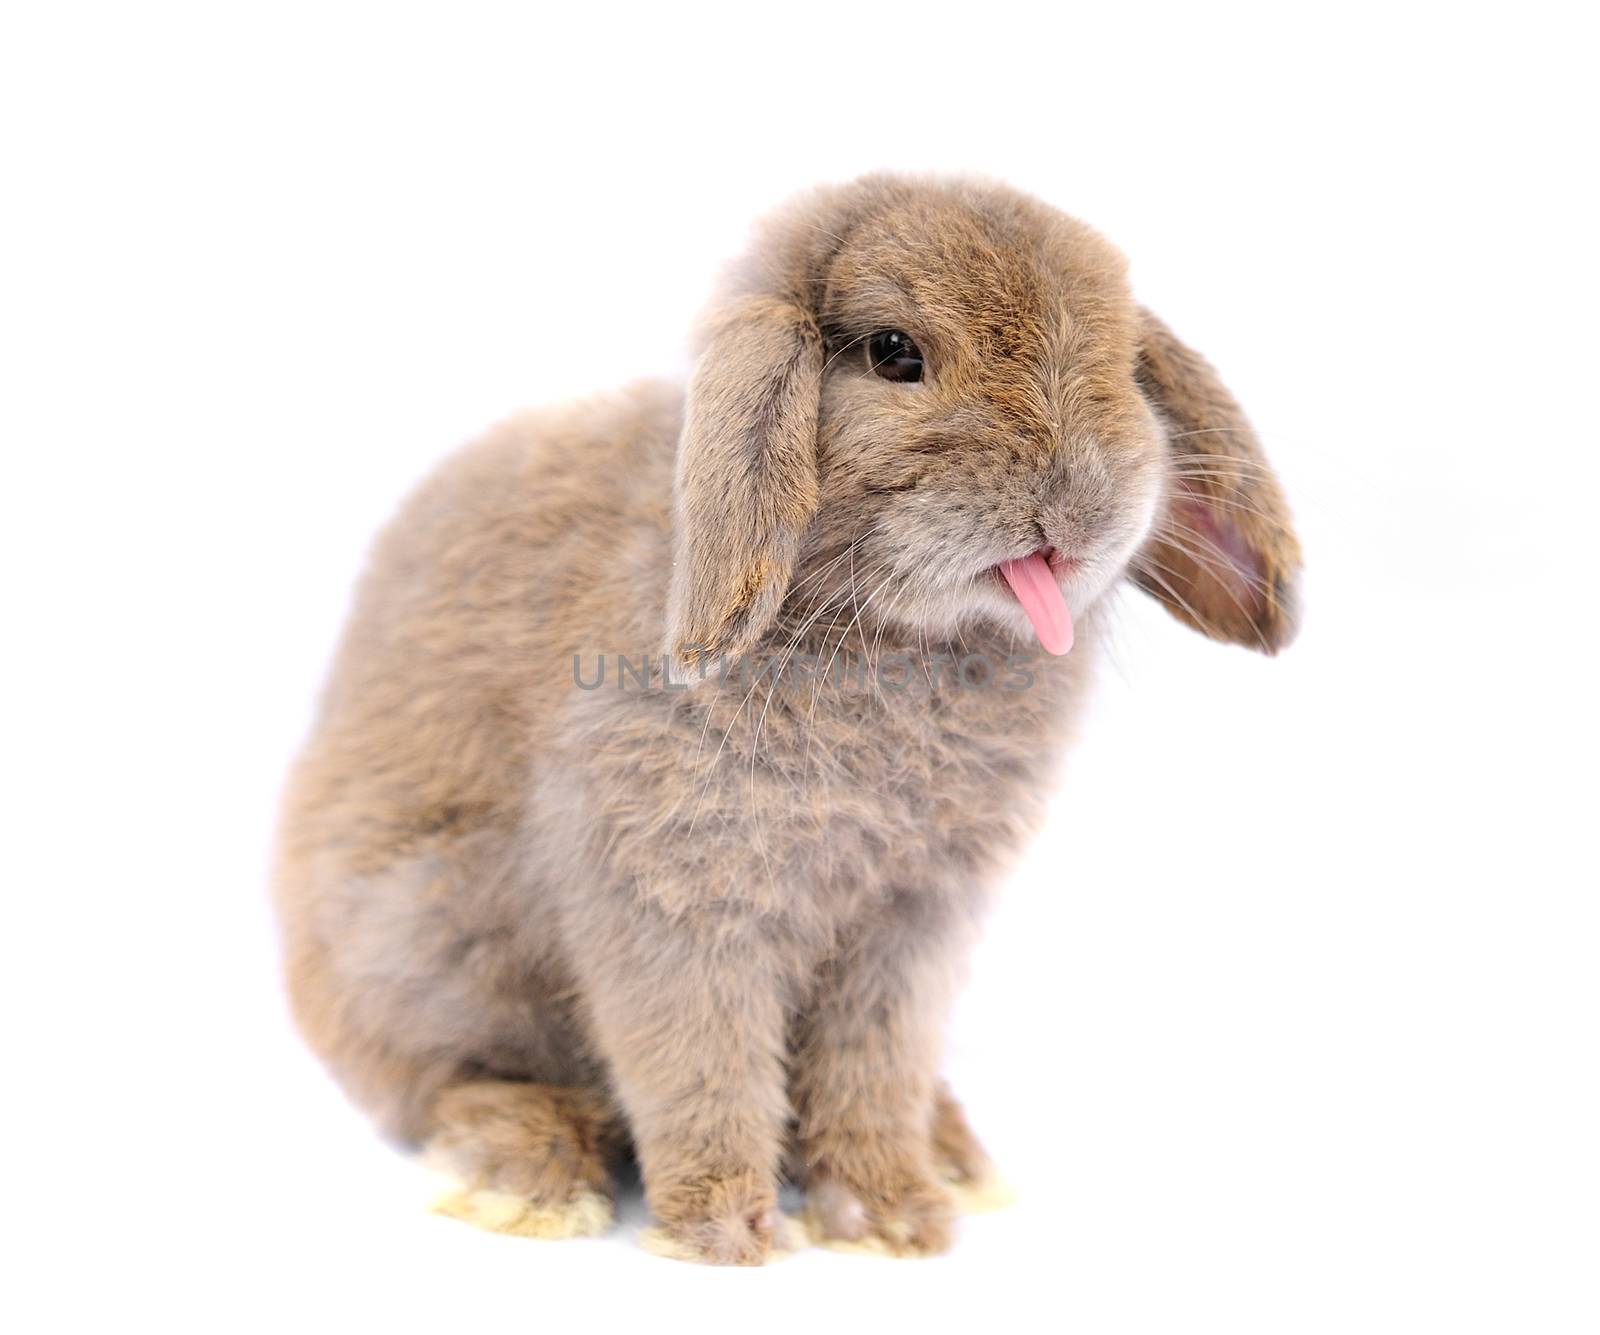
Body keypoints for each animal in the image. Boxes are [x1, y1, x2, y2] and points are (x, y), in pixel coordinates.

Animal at [275, 171, 1299, 1261]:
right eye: (895, 353)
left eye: (1121, 364)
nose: (1075, 510)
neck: (877, 628)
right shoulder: (672, 902)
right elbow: (700, 1063)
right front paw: (725, 1231)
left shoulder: (909, 929)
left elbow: (872, 1070)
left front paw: (889, 1215)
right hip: (420, 929)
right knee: (442, 1083)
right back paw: (532, 1175)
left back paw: (951, 1152)